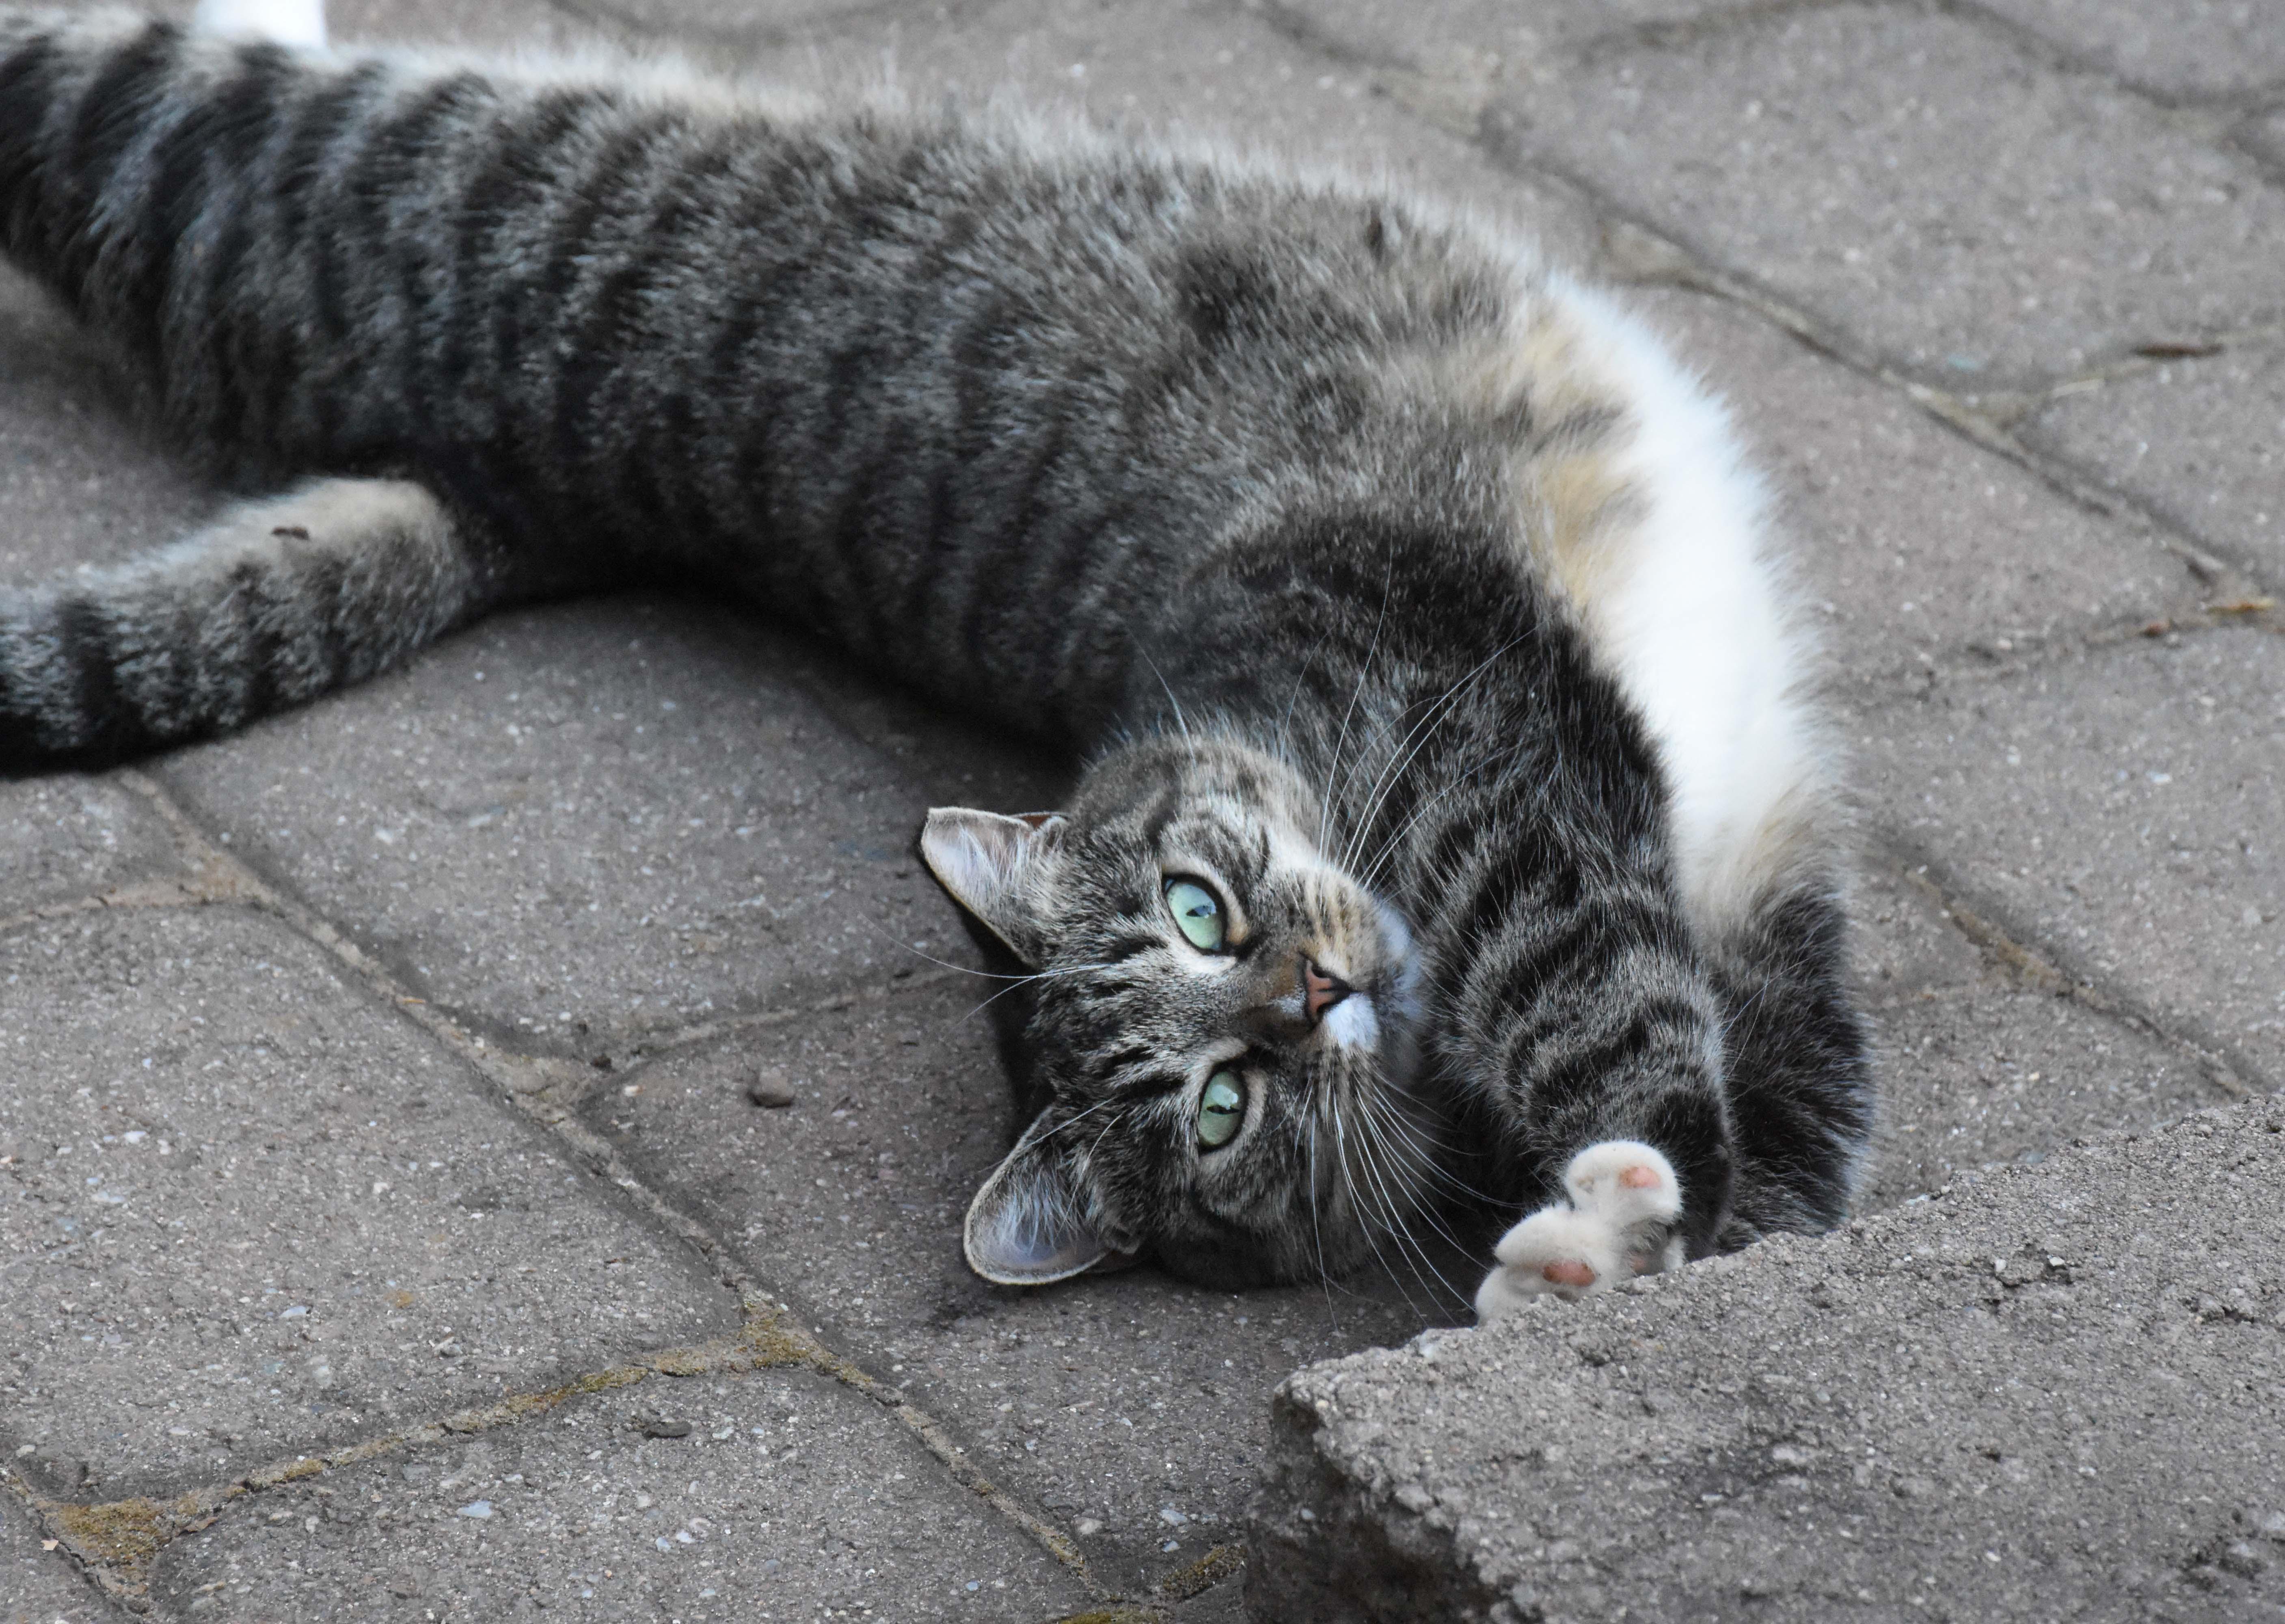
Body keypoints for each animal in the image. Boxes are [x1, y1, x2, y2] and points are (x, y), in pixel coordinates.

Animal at [0, 3, 1873, 1325]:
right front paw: (1605, 1238)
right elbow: (1623, 1012)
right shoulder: (1533, 799)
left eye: (1200, 906)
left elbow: (1785, 1102)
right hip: (227, 158)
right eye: (1220, 1109)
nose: (1310, 997)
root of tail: (510, 486)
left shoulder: (1651, 828)